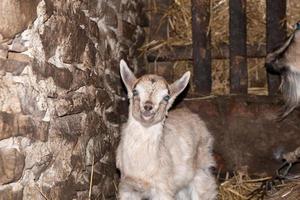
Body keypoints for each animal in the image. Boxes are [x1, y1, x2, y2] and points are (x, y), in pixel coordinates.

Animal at [116, 59, 217, 200]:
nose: (148, 107)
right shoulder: (127, 187)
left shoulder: (163, 189)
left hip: (202, 168)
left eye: (166, 97)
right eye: (135, 91)